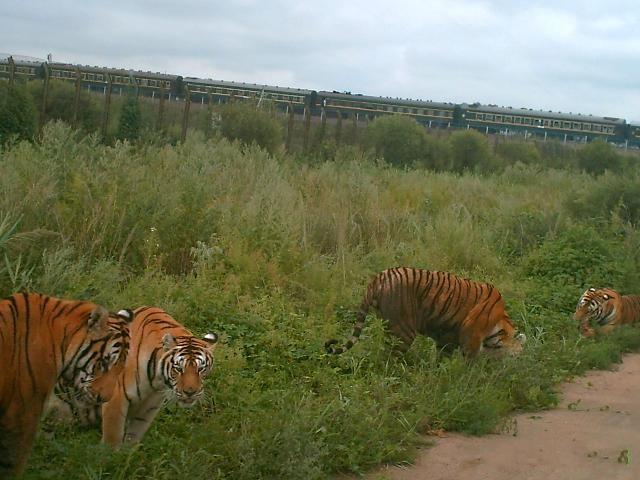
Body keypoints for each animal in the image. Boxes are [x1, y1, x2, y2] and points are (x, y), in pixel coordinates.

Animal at [50, 306, 218, 447]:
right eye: (178, 369)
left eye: (201, 369)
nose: (190, 392)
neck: (156, 380)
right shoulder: (115, 399)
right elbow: (113, 437)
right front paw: (109, 459)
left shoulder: (150, 406)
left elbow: (134, 436)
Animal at [325, 267, 526, 358]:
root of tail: (377, 279)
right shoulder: (471, 336)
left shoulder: (446, 337)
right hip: (403, 331)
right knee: (390, 359)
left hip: (387, 325)